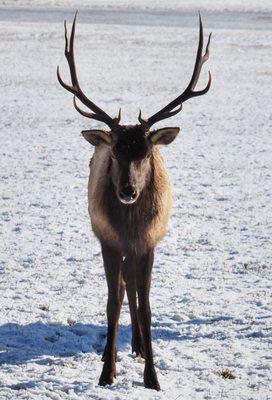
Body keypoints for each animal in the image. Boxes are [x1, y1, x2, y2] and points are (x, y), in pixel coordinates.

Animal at [56, 11, 211, 390]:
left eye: (146, 153)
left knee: (136, 292)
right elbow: (112, 302)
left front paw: (152, 377)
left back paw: (140, 346)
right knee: (126, 288)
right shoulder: (108, 241)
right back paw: (114, 351)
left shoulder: (149, 242)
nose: (127, 191)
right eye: (115, 152)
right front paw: (106, 373)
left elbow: (148, 307)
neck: (130, 227)